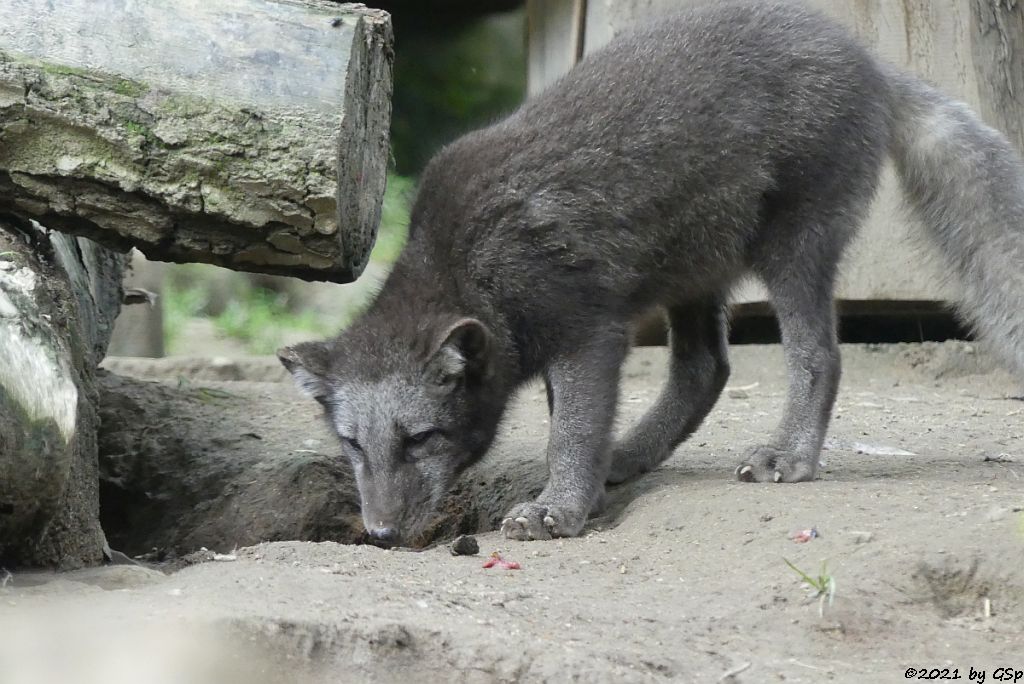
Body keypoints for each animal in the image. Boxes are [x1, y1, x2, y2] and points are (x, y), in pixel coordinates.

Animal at [278, 0, 1024, 544]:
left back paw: (790, 458)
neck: (466, 266)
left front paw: (555, 512)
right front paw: (578, 494)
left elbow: (571, 433)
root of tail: (870, 61)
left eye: (420, 438)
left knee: (819, 356)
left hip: (794, 247)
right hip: (693, 273)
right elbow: (575, 426)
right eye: (352, 444)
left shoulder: (588, 333)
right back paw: (632, 455)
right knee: (707, 369)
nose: (378, 532)